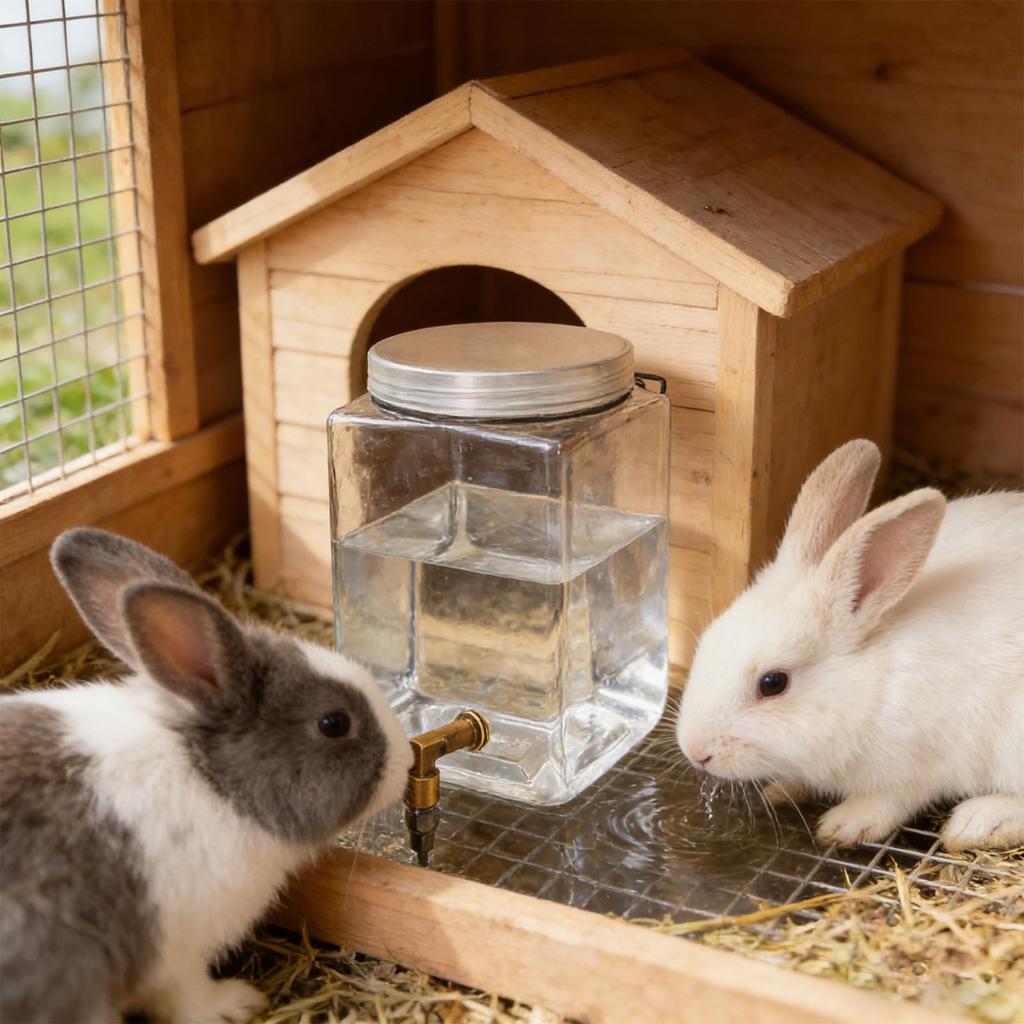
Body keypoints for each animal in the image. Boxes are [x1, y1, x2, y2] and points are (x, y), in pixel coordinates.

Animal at [0, 528, 412, 1024]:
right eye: (334, 723)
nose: (409, 760)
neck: (212, 779)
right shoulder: (173, 957)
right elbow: (186, 998)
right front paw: (236, 1003)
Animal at [675, 439, 1024, 851]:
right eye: (708, 640)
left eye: (773, 683)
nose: (696, 751)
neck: (871, 685)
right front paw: (782, 789)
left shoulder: (921, 766)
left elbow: (894, 799)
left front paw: (846, 824)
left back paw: (978, 823)